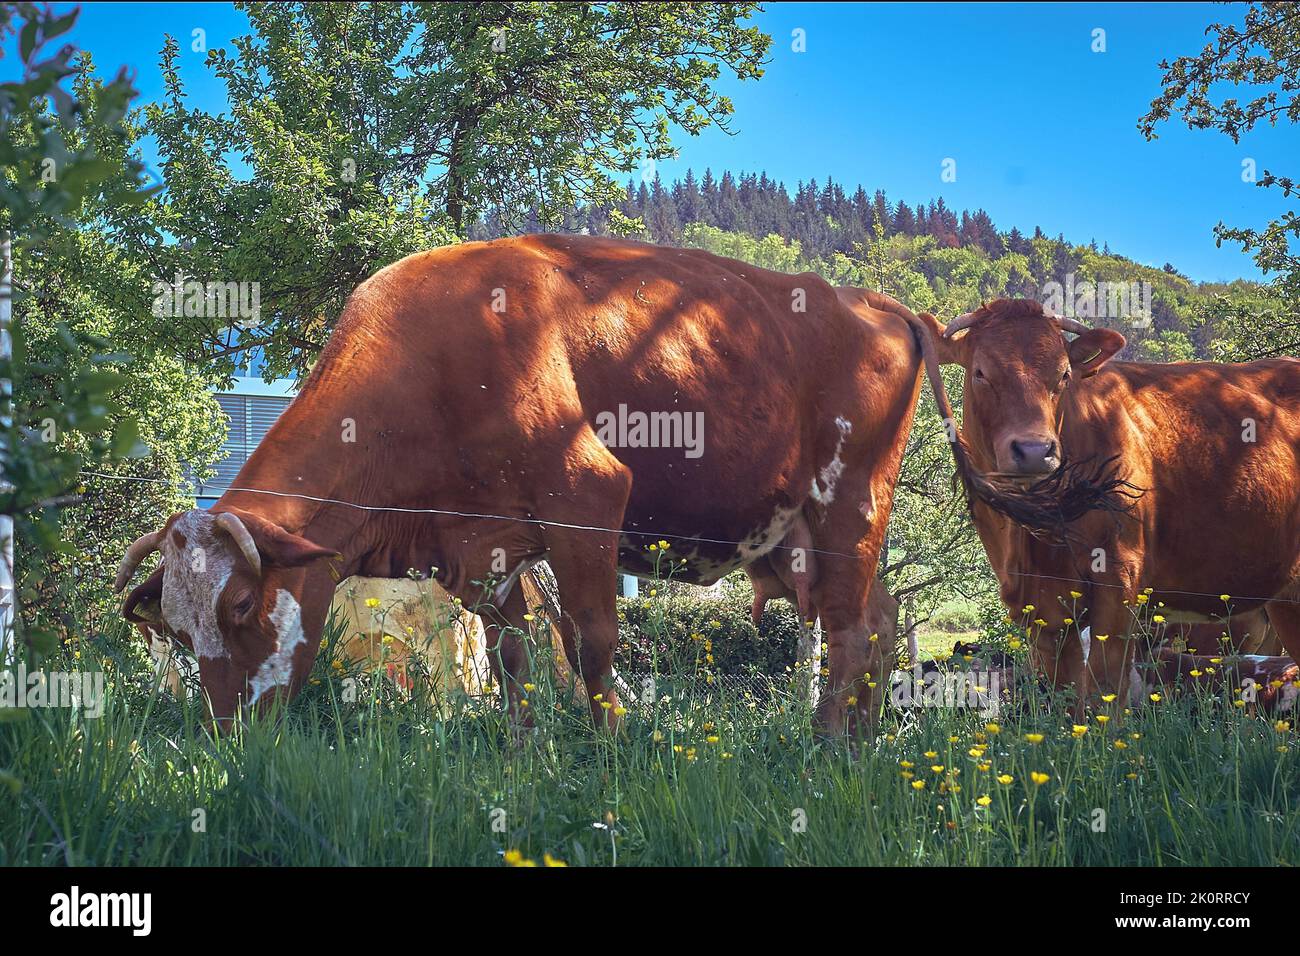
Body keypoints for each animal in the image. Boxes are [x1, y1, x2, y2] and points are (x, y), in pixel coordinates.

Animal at [114, 235, 928, 736]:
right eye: (178, 633)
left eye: (241, 604)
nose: (231, 738)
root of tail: (871, 301)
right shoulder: (482, 546)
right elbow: (513, 658)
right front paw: (522, 754)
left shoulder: (587, 497)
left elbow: (590, 643)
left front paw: (607, 750)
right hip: (798, 538)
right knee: (879, 618)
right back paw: (865, 746)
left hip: (849, 506)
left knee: (848, 631)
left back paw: (827, 748)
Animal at [908, 297, 1300, 714]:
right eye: (980, 372)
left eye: (1064, 375)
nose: (1034, 450)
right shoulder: (1042, 608)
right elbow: (1065, 696)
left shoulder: (1120, 579)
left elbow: (1103, 693)